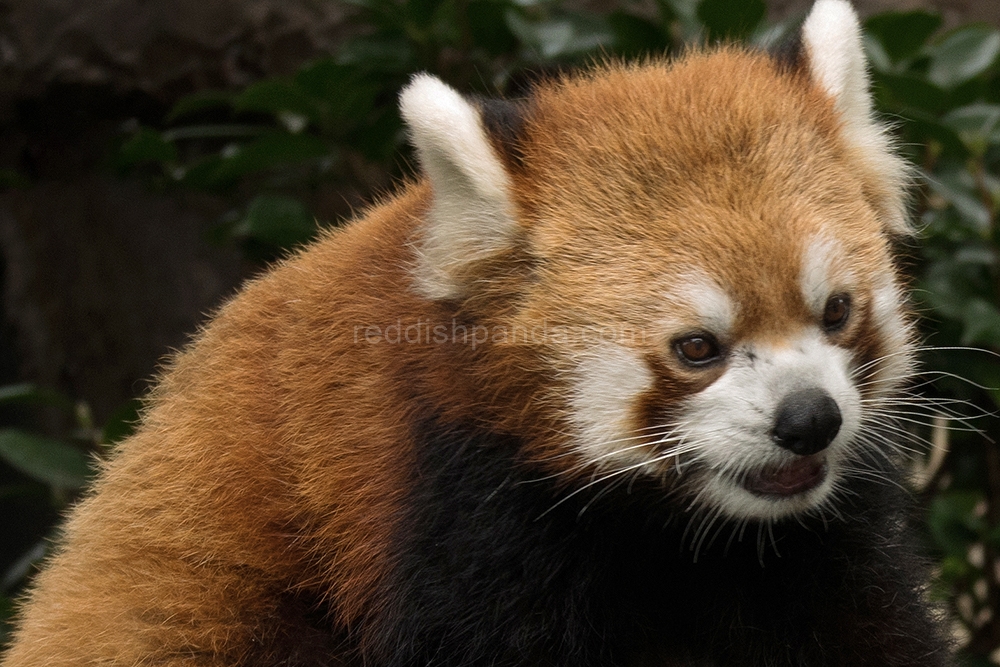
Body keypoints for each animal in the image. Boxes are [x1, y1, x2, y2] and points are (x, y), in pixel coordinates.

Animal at [1, 0, 952, 664]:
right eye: (697, 347)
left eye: (836, 310)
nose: (809, 419)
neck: (676, 534)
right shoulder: (449, 516)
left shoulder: (809, 549)